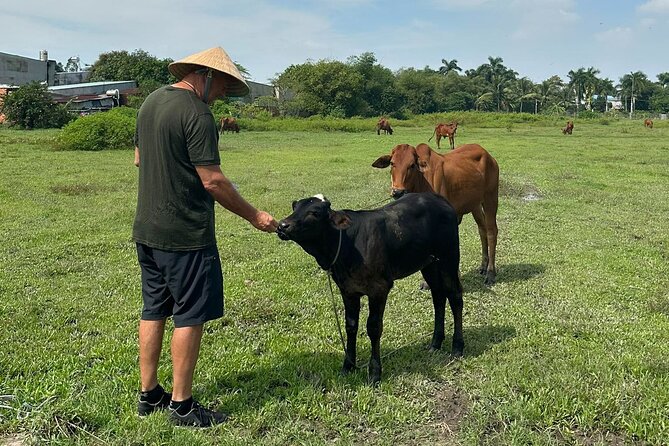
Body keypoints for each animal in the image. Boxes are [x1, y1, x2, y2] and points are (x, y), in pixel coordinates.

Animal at [276, 193, 460, 386]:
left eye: (315, 212)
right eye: (295, 207)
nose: (282, 225)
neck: (346, 246)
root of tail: (439, 199)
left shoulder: (379, 289)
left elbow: (373, 328)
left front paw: (374, 372)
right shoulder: (348, 290)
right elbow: (351, 326)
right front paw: (348, 366)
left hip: (449, 257)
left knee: (455, 296)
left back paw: (457, 347)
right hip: (429, 264)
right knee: (438, 296)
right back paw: (435, 343)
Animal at [374, 145, 498, 288]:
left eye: (412, 165)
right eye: (392, 163)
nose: (397, 192)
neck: (422, 182)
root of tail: (488, 156)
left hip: (490, 197)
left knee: (492, 231)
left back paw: (490, 273)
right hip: (475, 204)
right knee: (482, 229)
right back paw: (483, 266)